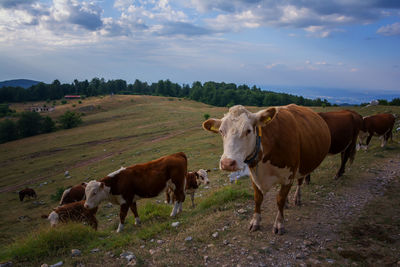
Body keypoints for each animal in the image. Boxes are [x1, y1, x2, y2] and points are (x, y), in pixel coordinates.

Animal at [203, 105, 332, 236]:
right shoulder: (254, 177)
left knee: (299, 182)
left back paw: (297, 198)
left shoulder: (289, 176)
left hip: (303, 167)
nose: (227, 163)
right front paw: (255, 221)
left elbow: (280, 199)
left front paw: (279, 224)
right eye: (221, 131)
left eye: (248, 130)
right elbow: (258, 199)